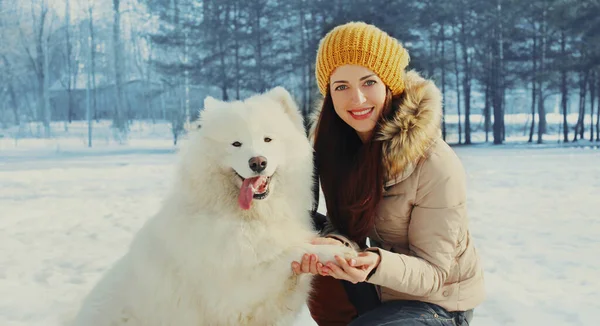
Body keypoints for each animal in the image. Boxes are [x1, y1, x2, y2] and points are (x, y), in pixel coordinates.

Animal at [69, 86, 356, 326]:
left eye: (268, 140)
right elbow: (291, 251)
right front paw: (339, 253)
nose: (258, 162)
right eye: (236, 143)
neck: (247, 218)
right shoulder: (234, 295)